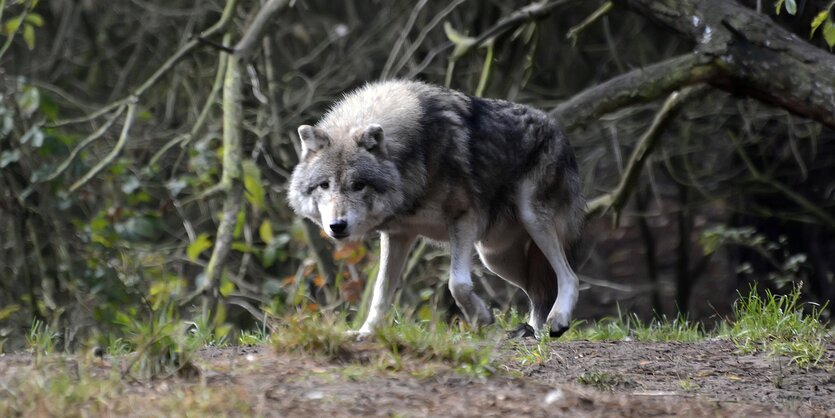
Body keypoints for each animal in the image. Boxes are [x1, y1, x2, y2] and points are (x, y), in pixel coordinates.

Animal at [290, 79, 584, 340]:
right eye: (324, 185)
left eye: (358, 185)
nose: (336, 226)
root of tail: (558, 129)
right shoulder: (398, 235)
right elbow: (380, 292)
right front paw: (367, 332)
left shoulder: (463, 219)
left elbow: (458, 284)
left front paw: (480, 317)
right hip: (495, 256)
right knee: (537, 291)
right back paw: (533, 332)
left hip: (532, 222)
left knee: (568, 276)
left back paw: (557, 320)